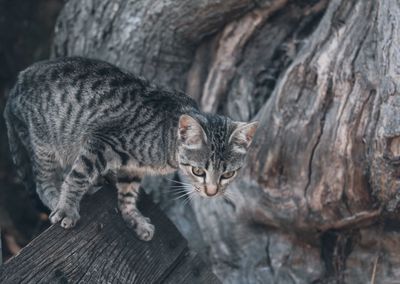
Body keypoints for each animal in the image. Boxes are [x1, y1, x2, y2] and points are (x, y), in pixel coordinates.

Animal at [3, 57, 258, 242]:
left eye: (228, 174)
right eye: (198, 171)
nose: (212, 192)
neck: (164, 141)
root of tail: (16, 84)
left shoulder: (133, 167)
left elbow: (127, 195)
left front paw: (134, 219)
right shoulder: (100, 141)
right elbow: (77, 176)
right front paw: (67, 208)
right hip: (44, 143)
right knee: (44, 182)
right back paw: (58, 200)